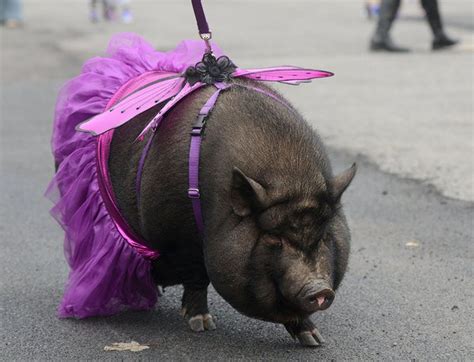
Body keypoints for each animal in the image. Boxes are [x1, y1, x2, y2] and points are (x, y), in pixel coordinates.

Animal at [108, 78, 356, 346]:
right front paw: (202, 325)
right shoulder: (182, 240)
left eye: (324, 235)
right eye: (275, 237)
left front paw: (314, 340)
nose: (320, 289)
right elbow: (197, 277)